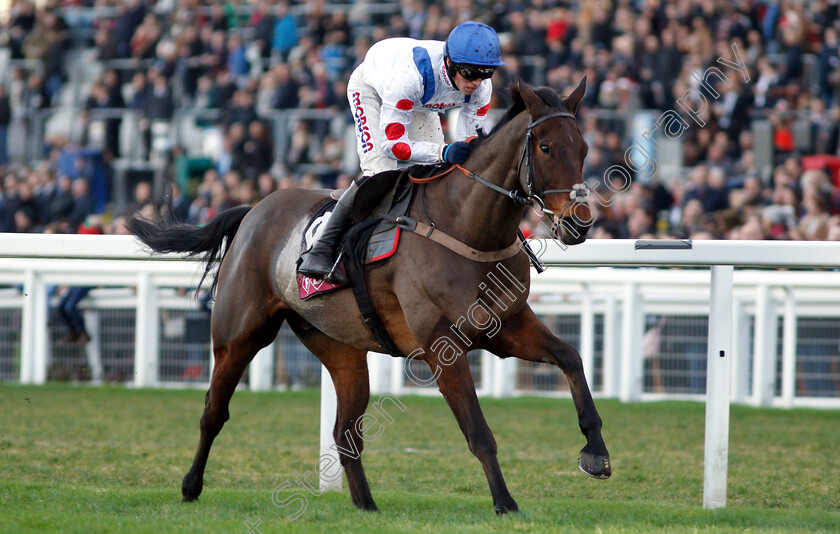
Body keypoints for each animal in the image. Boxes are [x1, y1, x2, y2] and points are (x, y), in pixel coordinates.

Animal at [133, 78, 616, 516]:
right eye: (547, 148)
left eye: (584, 149)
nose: (579, 223)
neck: (465, 226)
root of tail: (252, 210)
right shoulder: (442, 347)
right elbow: (478, 431)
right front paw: (505, 502)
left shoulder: (506, 328)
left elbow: (571, 357)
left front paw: (595, 452)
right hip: (239, 335)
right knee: (213, 411)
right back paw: (190, 486)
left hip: (339, 347)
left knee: (345, 431)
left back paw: (365, 505)